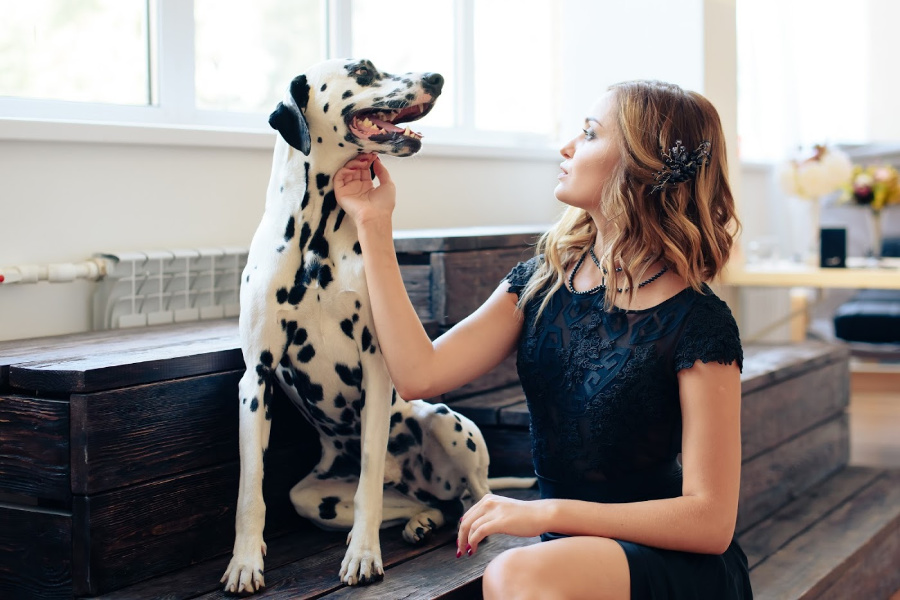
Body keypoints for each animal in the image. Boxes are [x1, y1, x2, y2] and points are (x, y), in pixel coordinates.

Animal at [221, 58, 532, 592]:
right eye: (363, 71)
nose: (436, 78)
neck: (316, 237)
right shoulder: (255, 380)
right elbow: (250, 489)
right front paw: (244, 561)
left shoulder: (375, 369)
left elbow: (367, 479)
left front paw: (364, 554)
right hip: (314, 499)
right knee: (425, 504)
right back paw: (420, 519)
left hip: (448, 423)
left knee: (472, 496)